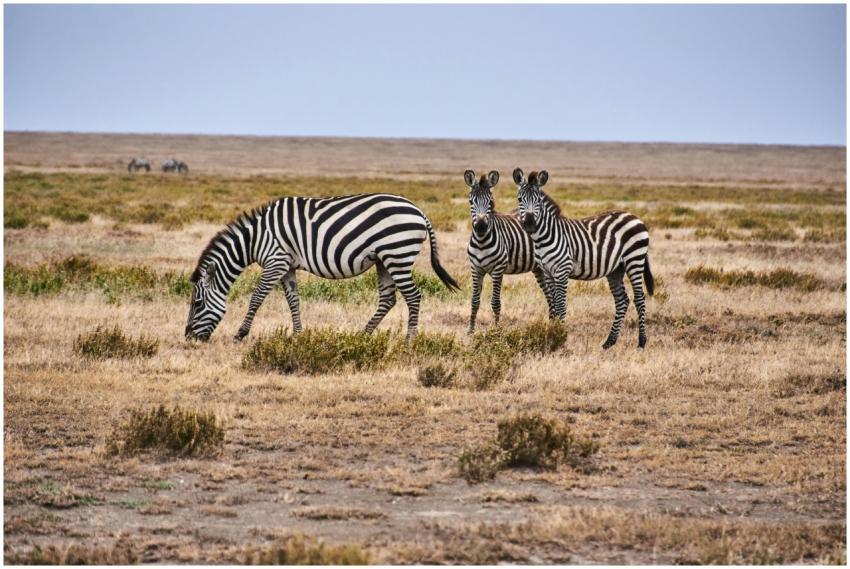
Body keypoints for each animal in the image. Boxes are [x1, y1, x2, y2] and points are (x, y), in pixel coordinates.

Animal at [185, 193, 460, 342]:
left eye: (197, 303)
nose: (188, 338)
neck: (256, 239)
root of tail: (419, 211)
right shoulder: (287, 266)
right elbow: (293, 300)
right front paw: (298, 335)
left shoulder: (276, 261)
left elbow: (256, 297)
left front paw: (240, 333)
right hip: (384, 260)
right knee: (388, 299)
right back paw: (363, 335)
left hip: (398, 254)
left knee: (413, 296)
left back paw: (408, 340)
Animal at [465, 169, 552, 334]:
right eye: (471, 202)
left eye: (490, 203)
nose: (480, 228)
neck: (481, 242)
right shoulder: (475, 269)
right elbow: (474, 301)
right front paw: (470, 330)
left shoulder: (498, 270)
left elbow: (495, 302)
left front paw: (496, 330)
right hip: (538, 269)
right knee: (549, 295)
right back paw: (553, 323)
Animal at [513, 168, 654, 349]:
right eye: (519, 199)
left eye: (537, 200)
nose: (530, 224)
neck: (545, 236)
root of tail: (634, 216)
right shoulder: (547, 272)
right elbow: (552, 305)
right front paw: (551, 335)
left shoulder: (562, 270)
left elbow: (560, 306)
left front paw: (560, 338)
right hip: (616, 269)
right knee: (622, 300)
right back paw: (609, 342)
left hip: (634, 260)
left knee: (639, 299)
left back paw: (641, 342)